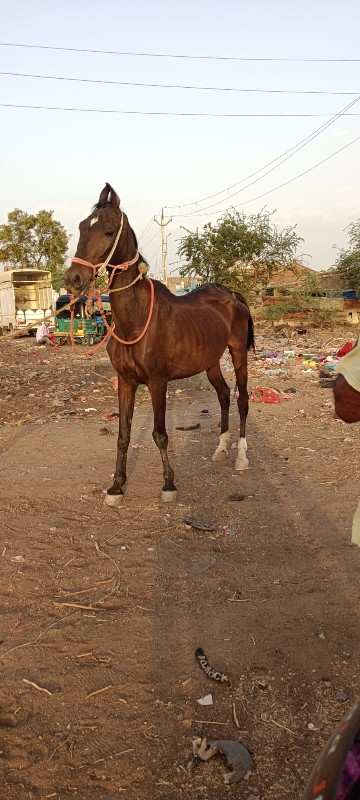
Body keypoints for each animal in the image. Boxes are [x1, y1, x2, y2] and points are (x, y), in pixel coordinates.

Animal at [65, 184, 256, 504]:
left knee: (242, 399)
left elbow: (160, 434)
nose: (73, 278)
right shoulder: (125, 381)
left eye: (108, 230)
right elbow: (124, 435)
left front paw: (168, 484)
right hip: (211, 362)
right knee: (223, 396)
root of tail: (232, 294)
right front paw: (116, 487)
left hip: (239, 353)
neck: (136, 319)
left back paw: (241, 457)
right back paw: (220, 449)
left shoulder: (157, 382)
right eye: (81, 227)